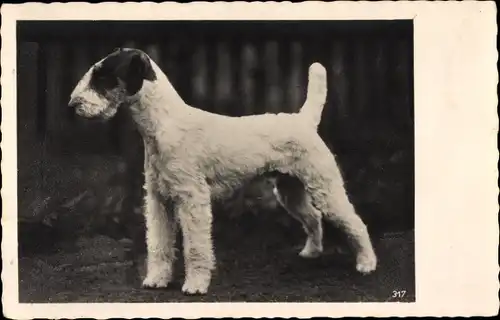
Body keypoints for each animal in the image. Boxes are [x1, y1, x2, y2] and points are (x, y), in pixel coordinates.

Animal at [69, 47, 376, 296]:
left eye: (103, 76)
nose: (73, 105)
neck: (163, 124)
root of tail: (304, 120)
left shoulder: (192, 199)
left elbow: (195, 247)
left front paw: (195, 285)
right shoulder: (158, 200)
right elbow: (158, 244)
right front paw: (156, 279)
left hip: (325, 187)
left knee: (355, 222)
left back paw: (367, 264)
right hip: (291, 191)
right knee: (313, 218)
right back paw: (311, 252)